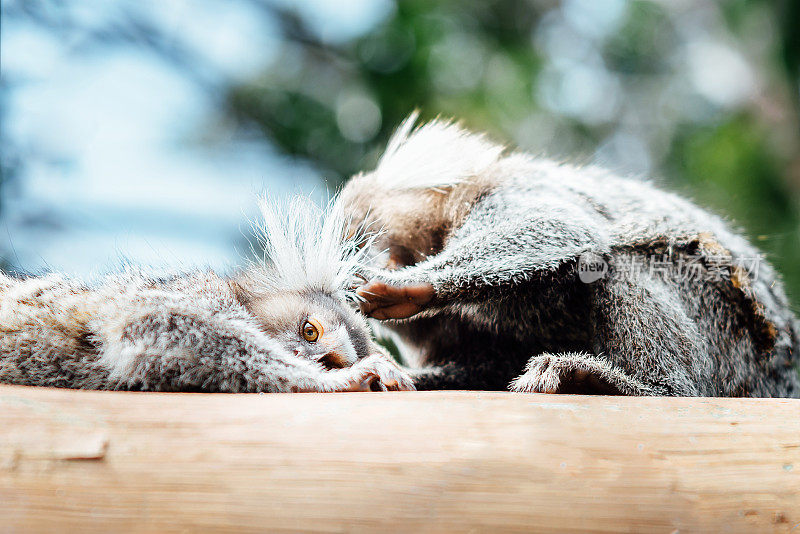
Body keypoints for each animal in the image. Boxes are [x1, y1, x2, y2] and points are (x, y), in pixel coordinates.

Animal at [0, 199, 412, 396]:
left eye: (328, 360)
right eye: (310, 331)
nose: (300, 355)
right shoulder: (198, 293)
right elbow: (151, 319)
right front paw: (337, 381)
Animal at [340, 116, 800, 398]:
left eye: (360, 240)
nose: (358, 258)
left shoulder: (502, 192)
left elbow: (562, 227)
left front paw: (411, 286)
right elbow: (491, 365)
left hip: (734, 336)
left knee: (620, 264)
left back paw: (630, 385)